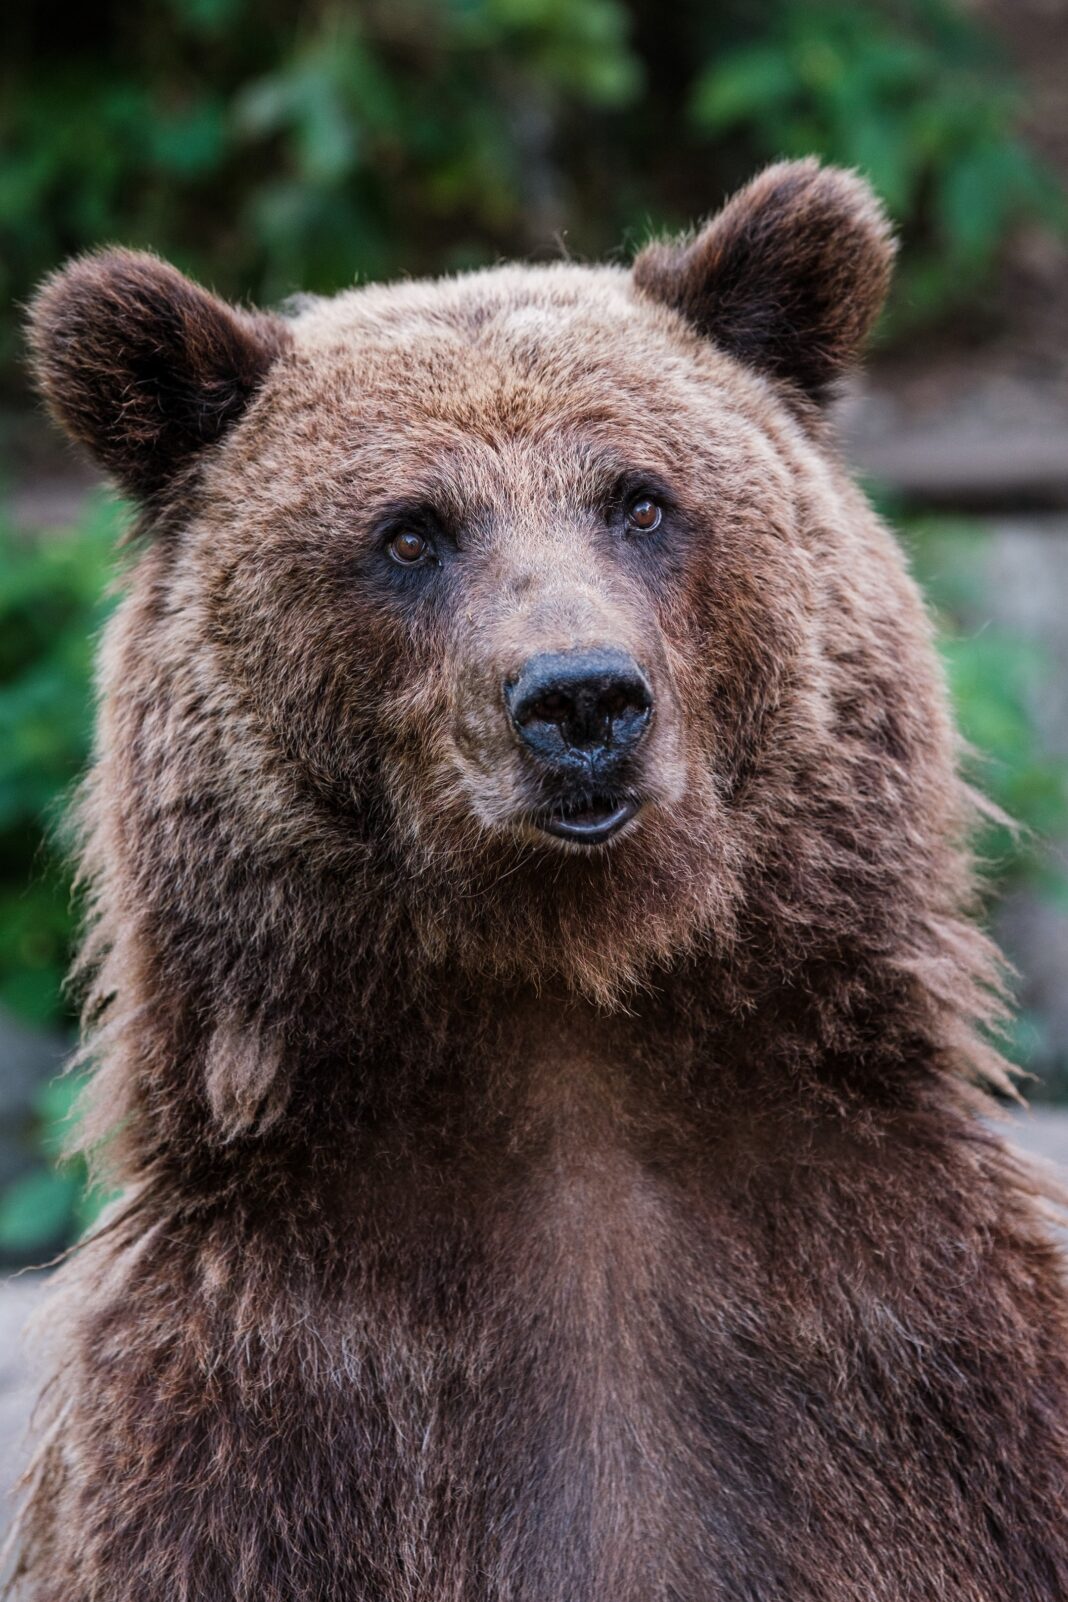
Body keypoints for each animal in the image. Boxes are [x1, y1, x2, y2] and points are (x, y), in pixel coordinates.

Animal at [8, 165, 1068, 1602]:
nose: (580, 699)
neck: (564, 1008)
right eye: (410, 532)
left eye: (641, 499)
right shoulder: (244, 1441)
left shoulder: (936, 1382)